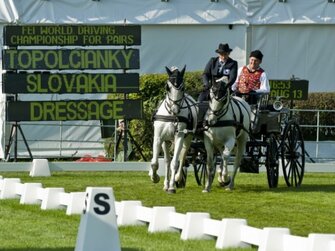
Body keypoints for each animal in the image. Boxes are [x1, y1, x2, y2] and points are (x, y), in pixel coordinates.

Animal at [150, 65, 200, 193]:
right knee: (167, 161)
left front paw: (172, 186)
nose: (175, 109)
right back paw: (165, 184)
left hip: (187, 139)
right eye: (167, 87)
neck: (171, 115)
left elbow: (175, 163)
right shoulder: (158, 138)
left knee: (181, 158)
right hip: (166, 141)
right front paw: (155, 177)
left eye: (183, 87)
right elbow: (155, 163)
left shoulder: (179, 137)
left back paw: (177, 178)